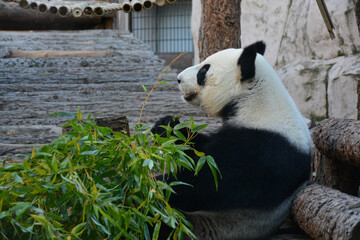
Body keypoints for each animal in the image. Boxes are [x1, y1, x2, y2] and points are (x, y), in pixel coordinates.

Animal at [150, 41, 310, 240]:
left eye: (204, 70)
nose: (179, 79)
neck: (255, 101)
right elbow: (199, 148)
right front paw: (166, 126)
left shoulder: (261, 150)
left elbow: (204, 182)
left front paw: (150, 184)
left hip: (198, 227)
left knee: (162, 221)